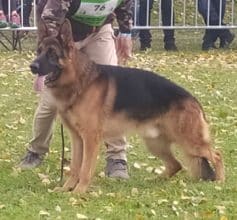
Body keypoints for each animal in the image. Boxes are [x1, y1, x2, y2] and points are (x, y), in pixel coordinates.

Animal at [30, 19, 225, 193]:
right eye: (38, 51)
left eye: (52, 54)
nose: (32, 66)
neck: (79, 81)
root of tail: (193, 100)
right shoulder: (77, 139)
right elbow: (75, 167)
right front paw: (66, 188)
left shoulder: (91, 139)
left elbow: (85, 169)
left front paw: (79, 192)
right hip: (154, 143)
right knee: (176, 165)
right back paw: (154, 181)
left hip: (189, 142)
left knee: (216, 155)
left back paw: (219, 182)